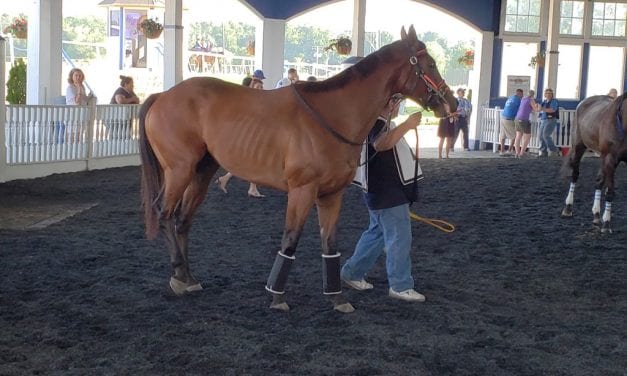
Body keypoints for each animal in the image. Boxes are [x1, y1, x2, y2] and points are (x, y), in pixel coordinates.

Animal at [139, 25, 456, 312]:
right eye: (430, 63)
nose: (450, 102)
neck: (332, 115)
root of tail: (163, 95)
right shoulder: (302, 191)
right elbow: (291, 240)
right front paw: (277, 296)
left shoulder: (331, 195)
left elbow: (330, 244)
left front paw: (337, 298)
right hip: (179, 170)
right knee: (165, 214)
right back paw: (179, 275)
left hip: (202, 171)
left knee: (183, 220)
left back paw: (188, 277)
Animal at [560, 91, 624, 232]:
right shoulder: (611, 158)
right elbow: (610, 191)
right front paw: (607, 224)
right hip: (579, 146)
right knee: (575, 175)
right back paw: (568, 208)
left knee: (599, 181)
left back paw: (596, 214)